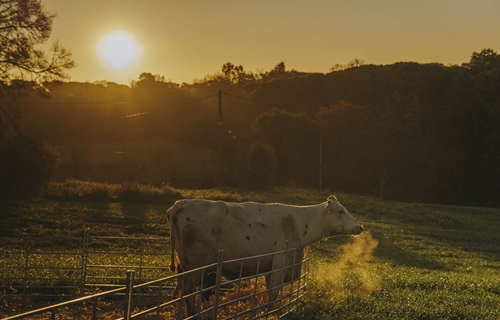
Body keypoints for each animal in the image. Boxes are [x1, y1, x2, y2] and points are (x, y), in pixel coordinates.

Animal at [168, 195, 364, 316]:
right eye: (340, 211)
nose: (360, 227)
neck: (298, 223)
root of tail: (178, 204)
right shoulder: (280, 262)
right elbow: (274, 291)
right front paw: (270, 312)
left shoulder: (272, 266)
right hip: (197, 266)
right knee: (188, 290)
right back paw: (194, 313)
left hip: (185, 265)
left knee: (181, 288)